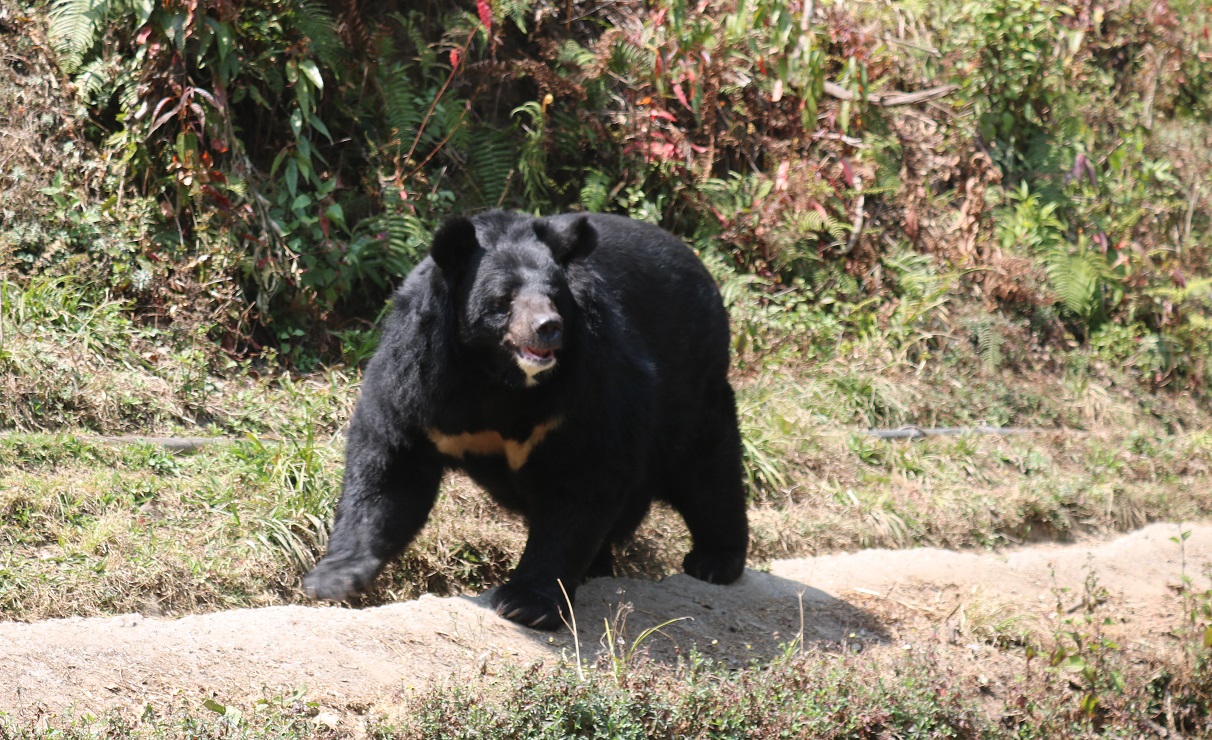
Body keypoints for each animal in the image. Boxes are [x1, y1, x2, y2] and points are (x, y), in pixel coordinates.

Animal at [303, 209, 746, 629]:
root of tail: (697, 263)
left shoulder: (584, 385)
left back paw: (714, 560)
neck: (497, 377)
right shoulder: (418, 378)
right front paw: (332, 579)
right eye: (504, 298)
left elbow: (580, 480)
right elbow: (390, 465)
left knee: (708, 470)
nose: (548, 328)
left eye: (554, 296)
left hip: (691, 382)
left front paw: (526, 604)